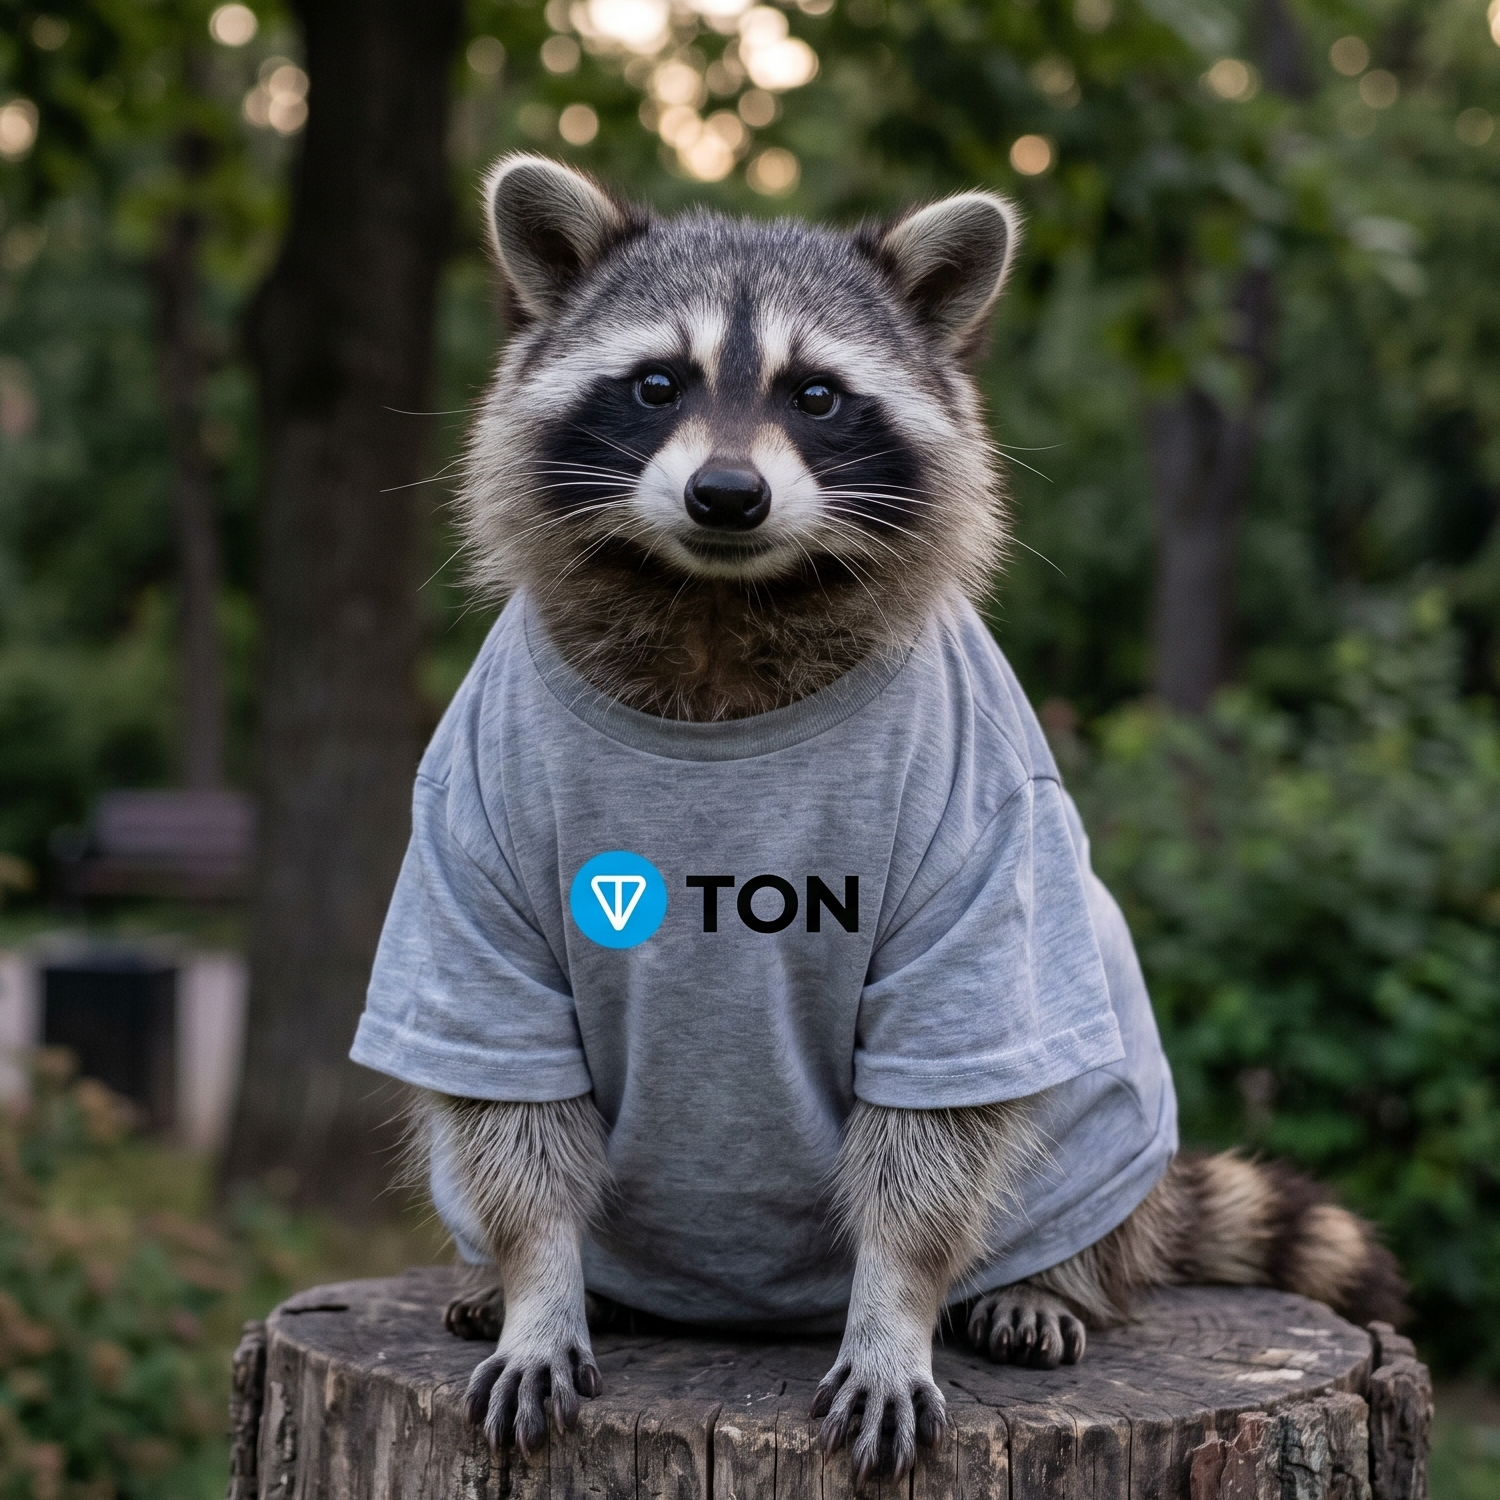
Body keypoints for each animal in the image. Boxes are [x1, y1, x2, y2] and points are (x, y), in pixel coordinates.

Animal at [351, 155, 1405, 1488]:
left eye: (817, 395)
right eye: (656, 384)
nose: (728, 495)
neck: (718, 604)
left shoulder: (979, 828)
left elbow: (937, 1125)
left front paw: (896, 1307)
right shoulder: (471, 821)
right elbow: (507, 1096)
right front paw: (540, 1280)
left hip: (1103, 1112)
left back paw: (1052, 1280)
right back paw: (528, 1276)